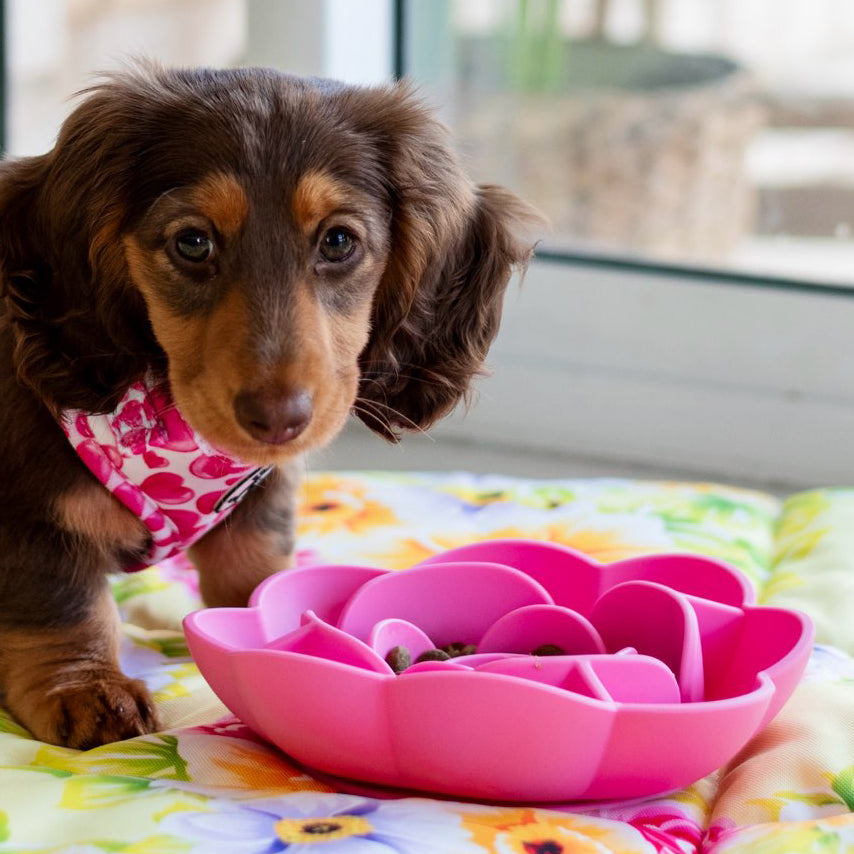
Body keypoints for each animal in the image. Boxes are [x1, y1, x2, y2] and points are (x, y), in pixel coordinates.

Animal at [0, 67, 540, 748]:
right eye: (193, 242)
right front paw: (84, 686)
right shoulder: (31, 515)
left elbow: (257, 576)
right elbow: (61, 605)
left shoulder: (258, 510)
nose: (278, 420)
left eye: (338, 241)